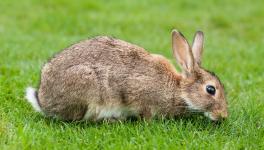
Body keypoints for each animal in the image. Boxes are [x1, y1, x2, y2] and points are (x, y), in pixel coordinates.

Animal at [25, 29, 229, 121]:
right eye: (211, 89)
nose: (223, 115)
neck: (179, 90)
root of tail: (43, 101)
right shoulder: (140, 94)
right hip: (87, 87)